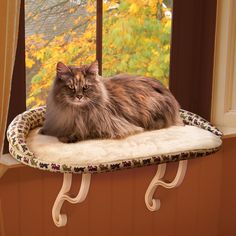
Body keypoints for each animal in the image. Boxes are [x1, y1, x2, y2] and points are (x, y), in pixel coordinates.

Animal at [39, 60, 182, 142]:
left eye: (85, 87)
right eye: (71, 87)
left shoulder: (115, 126)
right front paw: (44, 131)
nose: (79, 96)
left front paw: (67, 137)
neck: (75, 113)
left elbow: (85, 132)